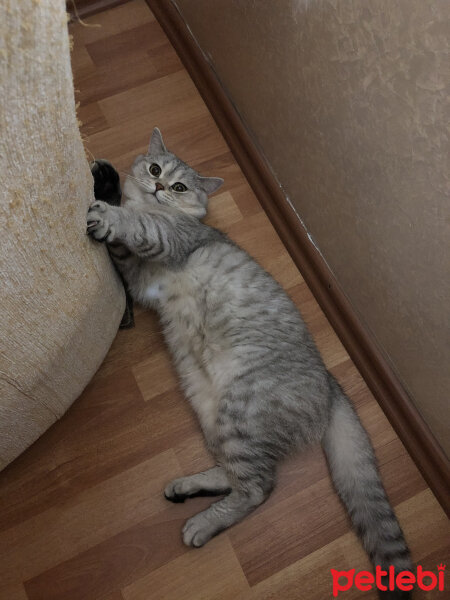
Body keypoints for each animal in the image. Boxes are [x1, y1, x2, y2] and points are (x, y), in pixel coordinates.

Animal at [87, 129, 412, 596]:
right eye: (155, 168)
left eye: (180, 187)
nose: (160, 185)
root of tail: (332, 385)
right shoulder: (135, 271)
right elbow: (122, 238)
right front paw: (107, 185)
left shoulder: (165, 240)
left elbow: (137, 226)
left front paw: (109, 209)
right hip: (212, 412)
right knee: (237, 473)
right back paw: (187, 488)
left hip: (241, 411)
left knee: (259, 488)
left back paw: (202, 524)